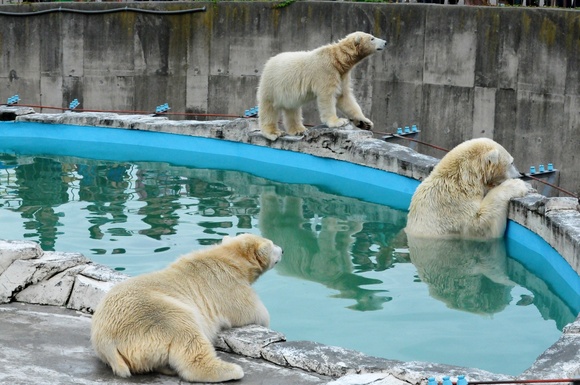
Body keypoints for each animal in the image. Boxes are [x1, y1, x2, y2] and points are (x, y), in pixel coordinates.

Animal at [90, 232, 284, 382]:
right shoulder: (229, 286)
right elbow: (254, 312)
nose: (282, 249)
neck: (229, 258)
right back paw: (231, 370)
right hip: (157, 314)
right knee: (187, 336)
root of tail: (106, 343)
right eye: (272, 244)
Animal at [258, 31, 386, 140]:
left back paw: (299, 130)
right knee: (269, 108)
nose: (385, 42)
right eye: (372, 38)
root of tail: (269, 61)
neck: (337, 59)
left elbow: (344, 97)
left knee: (292, 109)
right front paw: (338, 121)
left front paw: (365, 122)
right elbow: (327, 96)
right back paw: (273, 132)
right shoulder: (325, 71)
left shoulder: (342, 75)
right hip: (272, 84)